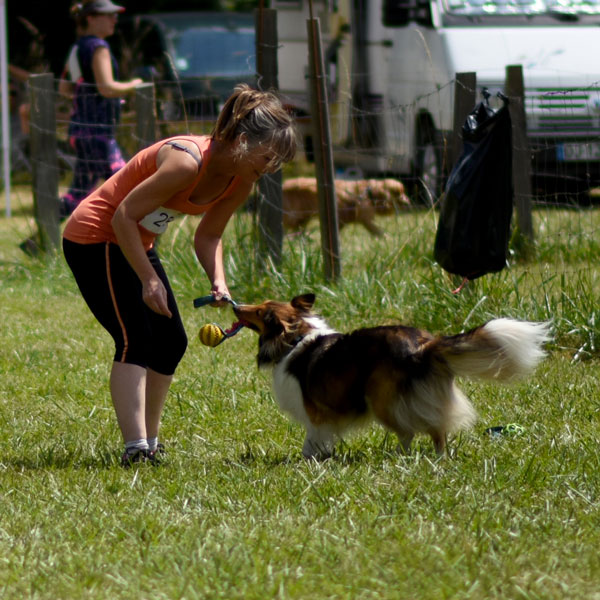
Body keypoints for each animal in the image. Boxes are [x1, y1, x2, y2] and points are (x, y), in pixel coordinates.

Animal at [232, 296, 552, 460]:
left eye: (258, 311)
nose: (233, 305)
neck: (295, 337)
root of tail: (424, 345)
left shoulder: (317, 415)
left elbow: (311, 442)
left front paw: (308, 462)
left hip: (381, 399)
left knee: (422, 430)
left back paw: (422, 459)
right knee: (427, 429)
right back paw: (408, 457)